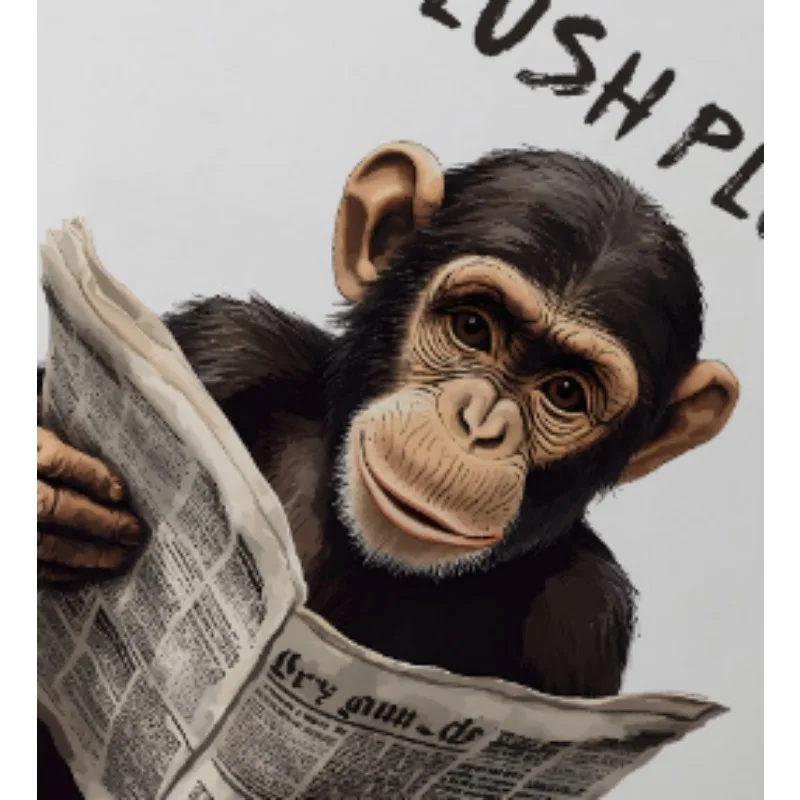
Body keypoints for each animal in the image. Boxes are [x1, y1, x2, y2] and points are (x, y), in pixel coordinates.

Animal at [37, 142, 739, 799]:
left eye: (565, 391)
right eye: (472, 327)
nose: (478, 426)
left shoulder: (585, 627)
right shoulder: (223, 346)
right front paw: (57, 502)